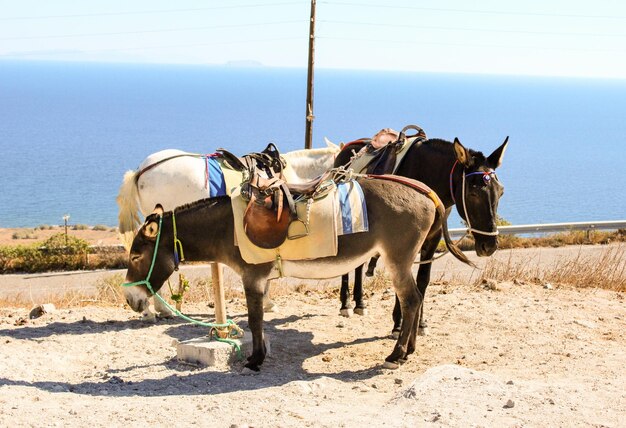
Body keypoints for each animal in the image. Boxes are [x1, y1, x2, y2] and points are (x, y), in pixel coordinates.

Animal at [334, 135, 504, 336]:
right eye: (473, 193)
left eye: (501, 192)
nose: (490, 245)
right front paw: (398, 325)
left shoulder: (433, 238)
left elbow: (423, 280)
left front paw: (420, 324)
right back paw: (345, 305)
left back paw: (360, 303)